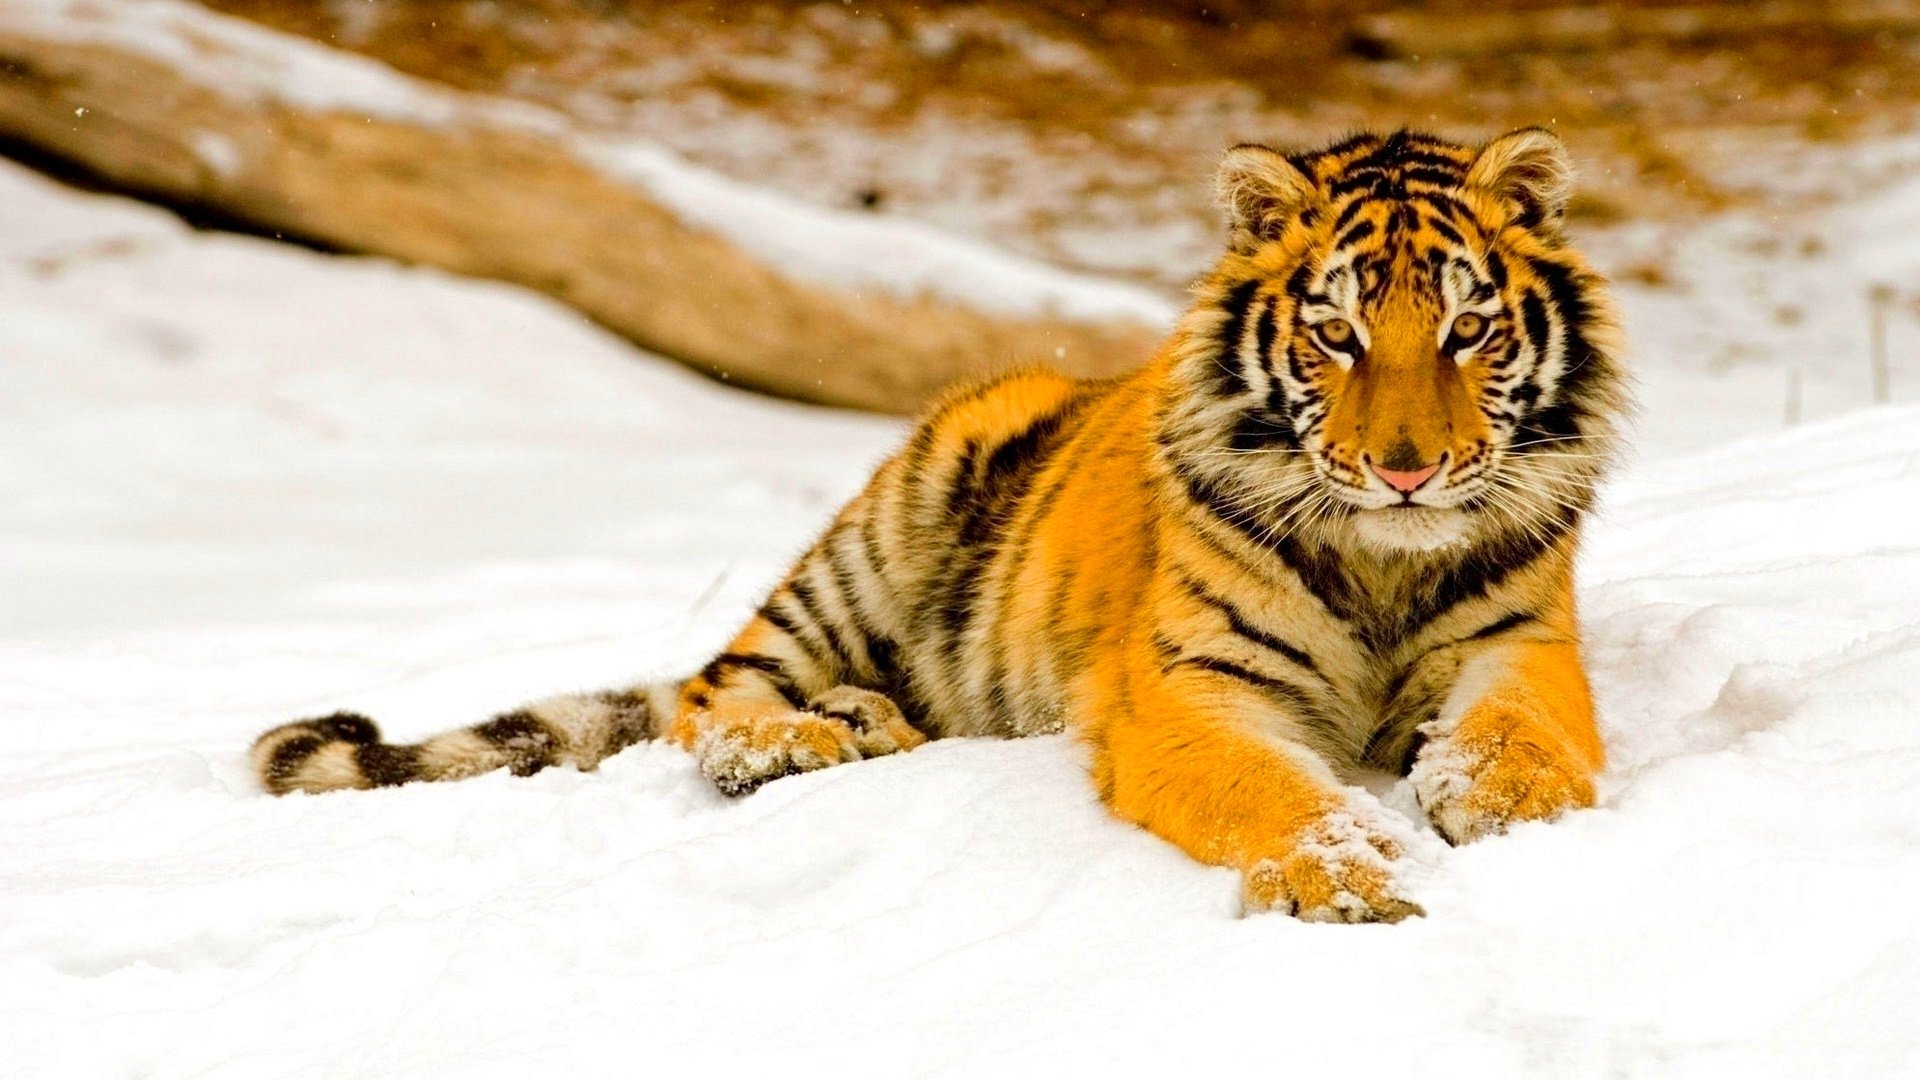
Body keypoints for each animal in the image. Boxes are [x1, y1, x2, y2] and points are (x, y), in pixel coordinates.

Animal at [253, 127, 1628, 923]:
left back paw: (867, 722)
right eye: (1335, 334)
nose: (1407, 472)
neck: (1383, 559)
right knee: (709, 694)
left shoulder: (1521, 646)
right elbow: (1271, 789)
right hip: (883, 528)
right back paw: (804, 739)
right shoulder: (1187, 688)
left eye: (1468, 330)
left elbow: (1522, 740)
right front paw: (1345, 875)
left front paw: (1506, 816)